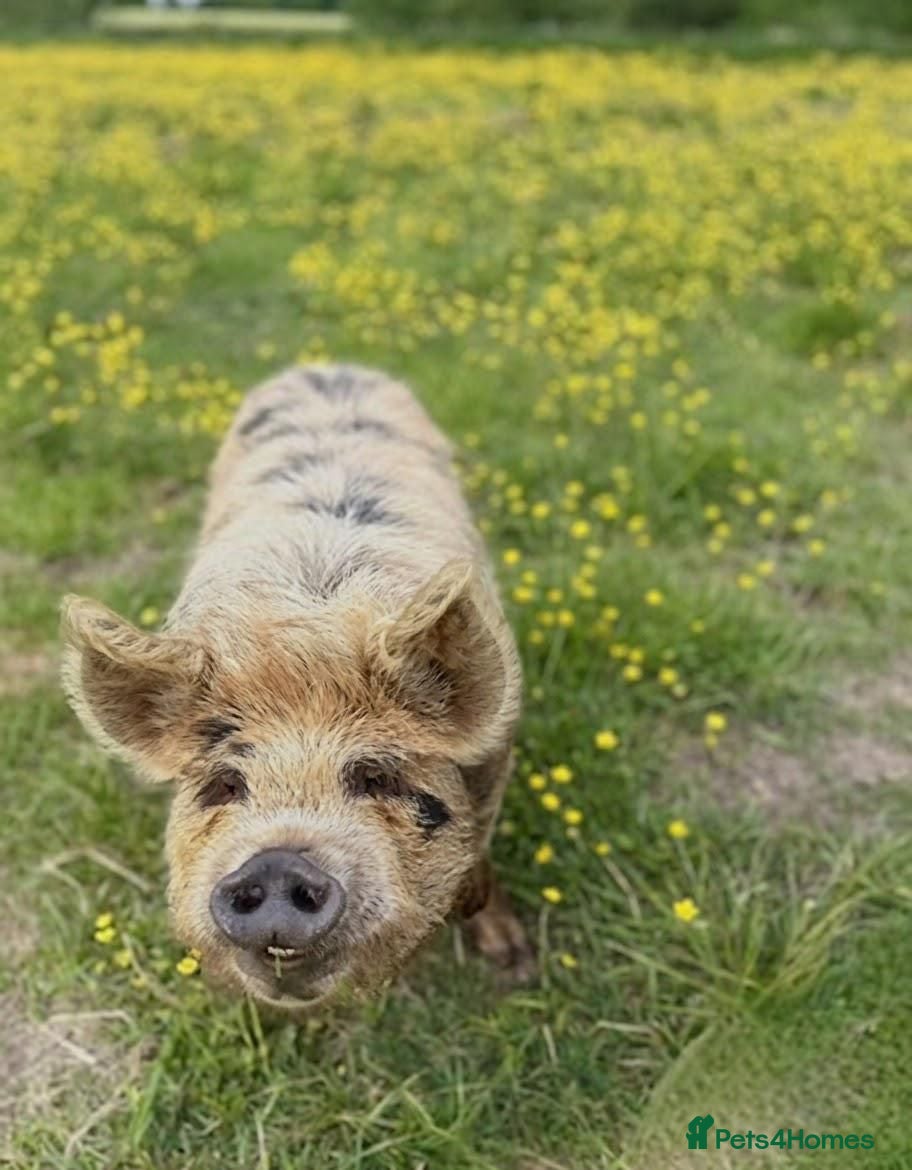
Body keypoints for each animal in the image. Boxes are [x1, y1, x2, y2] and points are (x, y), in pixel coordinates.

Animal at [61, 364, 532, 1009]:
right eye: (226, 785)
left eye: (375, 776)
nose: (276, 864)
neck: (306, 635)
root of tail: (328, 365)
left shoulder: (496, 750)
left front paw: (512, 962)